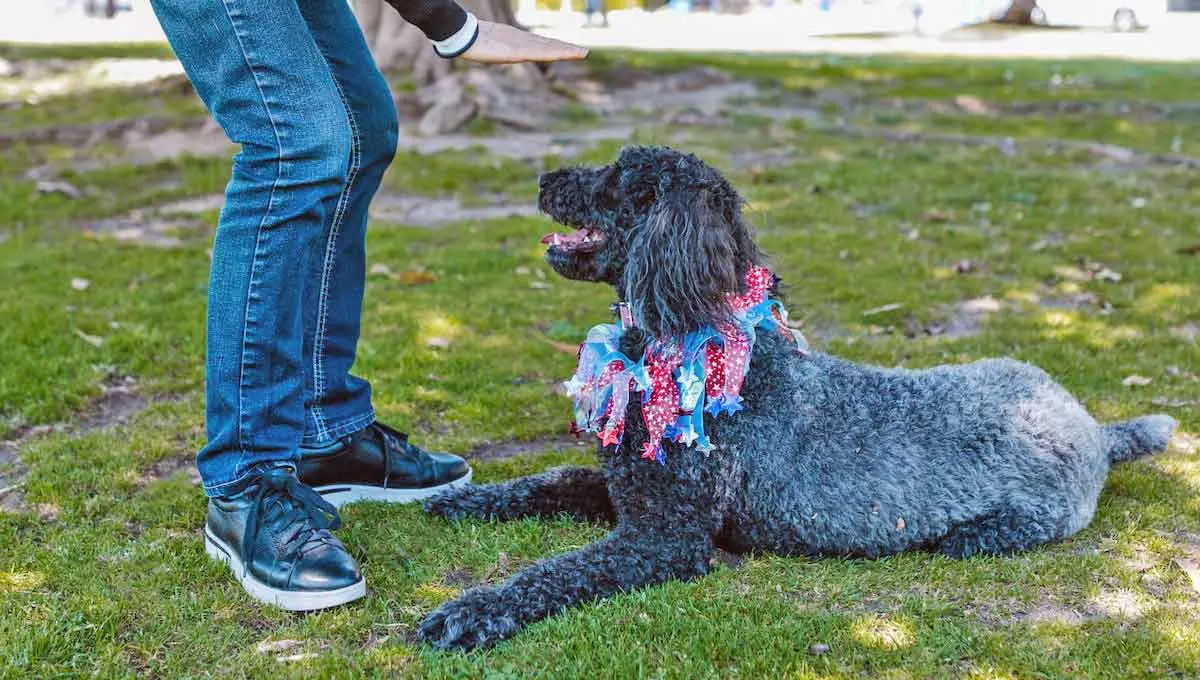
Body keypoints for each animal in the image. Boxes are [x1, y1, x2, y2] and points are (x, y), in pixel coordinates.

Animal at [417, 146, 1176, 652]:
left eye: (619, 179)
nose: (544, 178)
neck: (700, 340)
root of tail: (1095, 428)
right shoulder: (628, 490)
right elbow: (549, 479)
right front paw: (465, 500)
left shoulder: (663, 538)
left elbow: (553, 572)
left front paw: (472, 611)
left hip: (1036, 510)